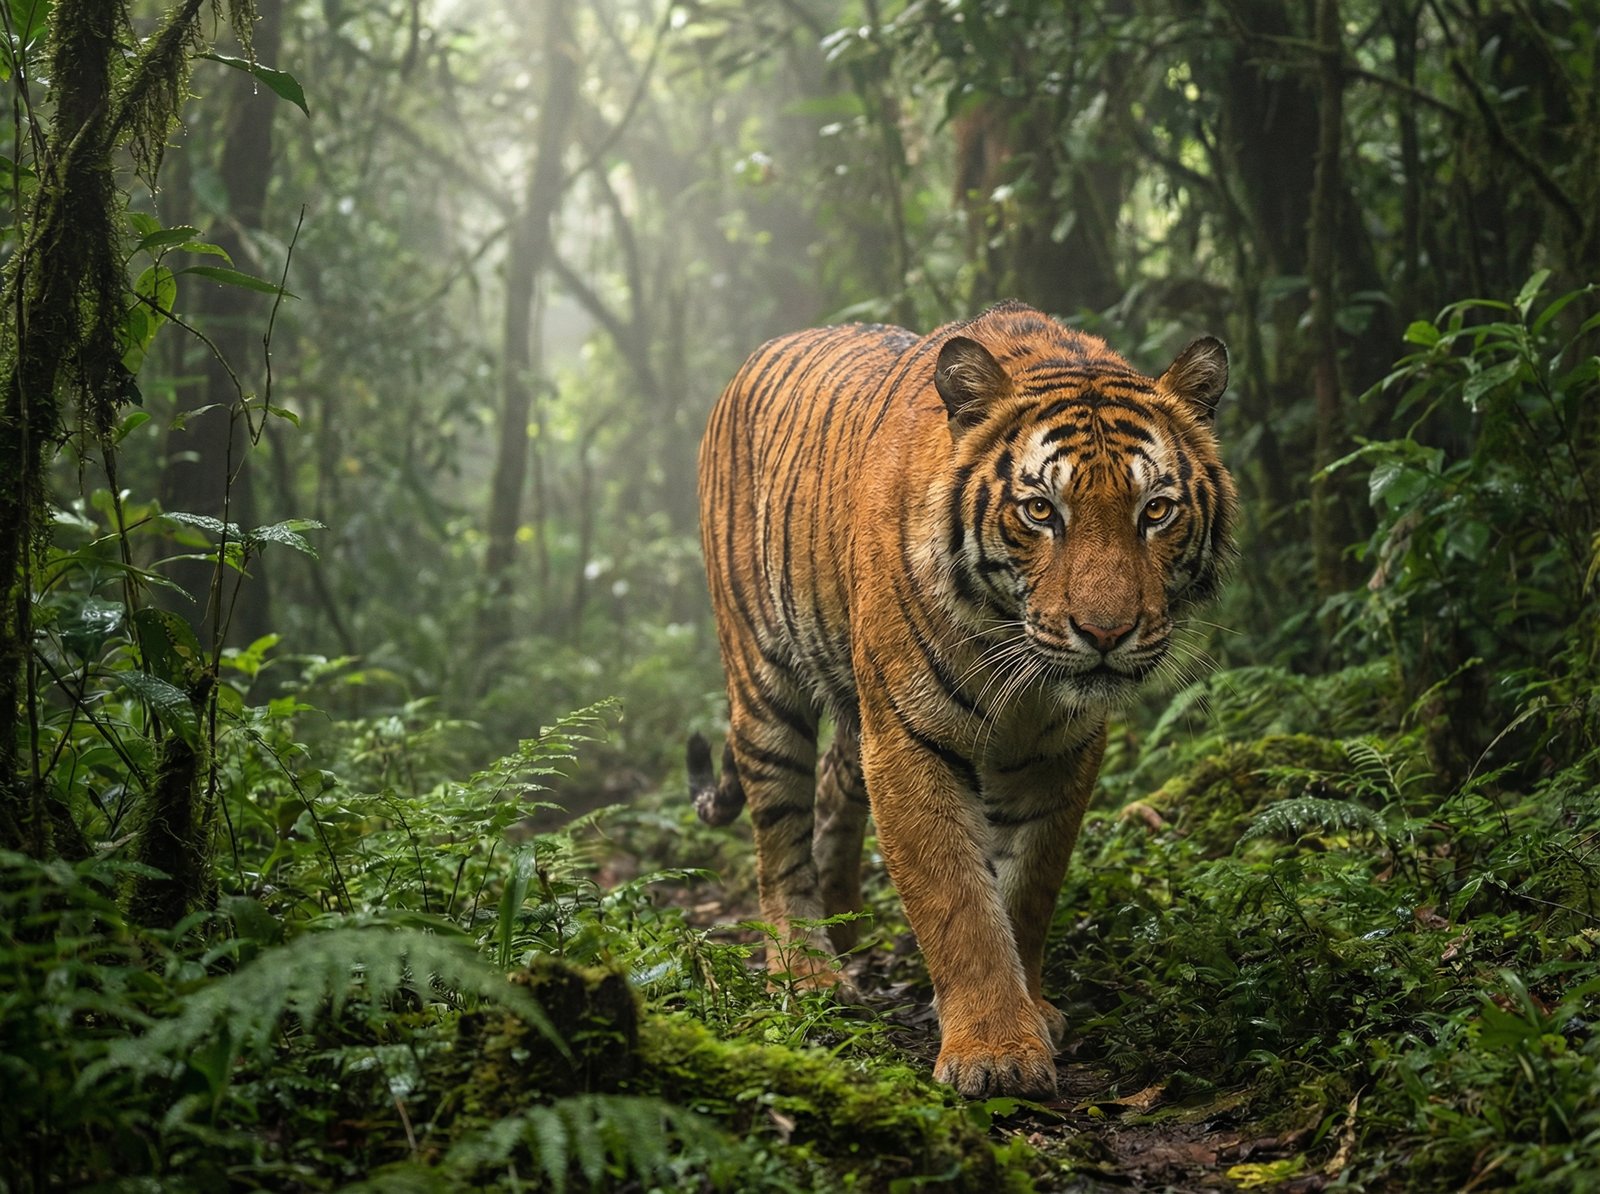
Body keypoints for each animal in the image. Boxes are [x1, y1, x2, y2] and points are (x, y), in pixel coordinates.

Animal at [687, 300, 1236, 1099]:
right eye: (1041, 510)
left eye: (1156, 511)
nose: (1106, 632)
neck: (1021, 659)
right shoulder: (908, 737)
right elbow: (958, 901)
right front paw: (995, 1052)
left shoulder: (1061, 750)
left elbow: (1027, 887)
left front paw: (1034, 1010)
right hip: (764, 681)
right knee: (777, 834)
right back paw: (809, 970)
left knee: (832, 789)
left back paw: (848, 921)